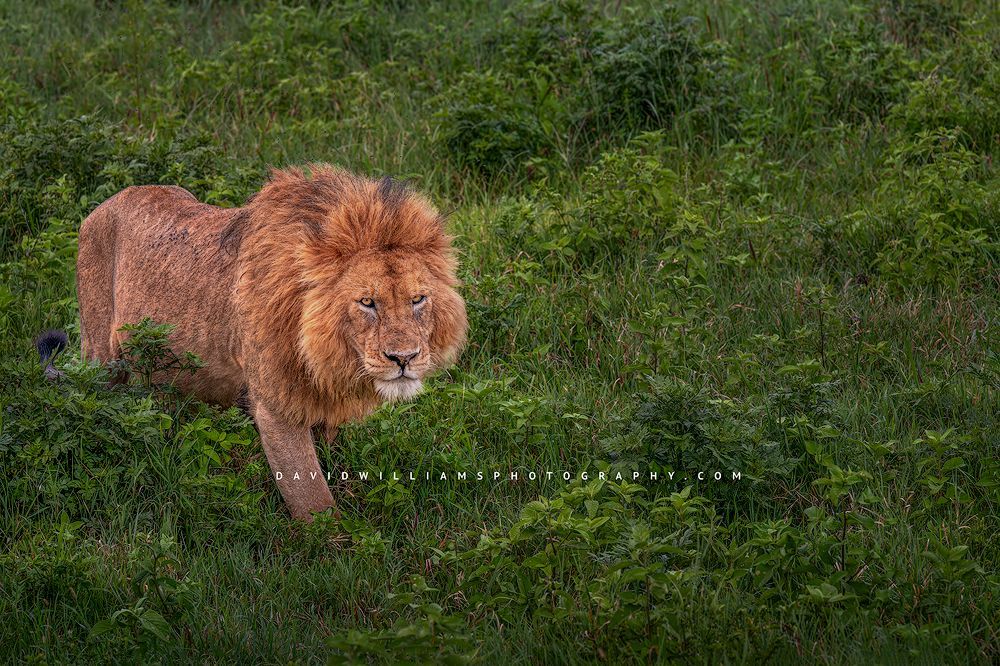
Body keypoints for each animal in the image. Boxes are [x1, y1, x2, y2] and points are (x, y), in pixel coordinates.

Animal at [70, 165, 467, 519]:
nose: (404, 357)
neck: (325, 356)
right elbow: (313, 500)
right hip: (101, 356)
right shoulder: (277, 407)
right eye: (367, 302)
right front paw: (335, 546)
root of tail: (108, 202)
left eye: (418, 299)